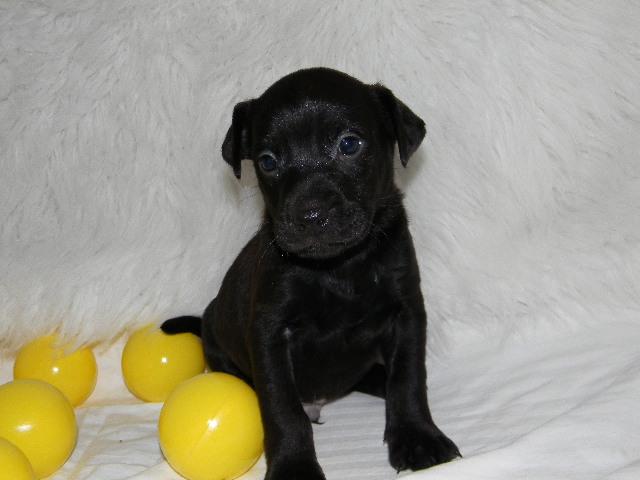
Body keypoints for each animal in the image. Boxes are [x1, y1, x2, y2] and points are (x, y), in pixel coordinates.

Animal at [162, 68, 458, 480]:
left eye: (349, 144)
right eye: (268, 161)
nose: (311, 214)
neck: (338, 267)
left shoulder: (407, 313)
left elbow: (408, 379)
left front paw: (417, 437)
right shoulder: (270, 334)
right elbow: (282, 408)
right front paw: (294, 467)